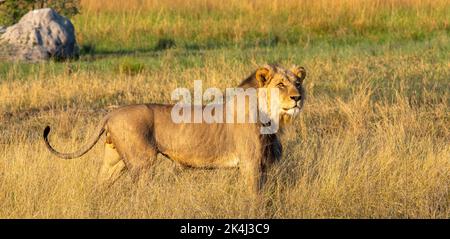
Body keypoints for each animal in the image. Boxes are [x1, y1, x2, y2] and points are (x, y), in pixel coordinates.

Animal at [43, 64, 306, 194]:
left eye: (298, 82)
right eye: (281, 85)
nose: (297, 97)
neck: (273, 117)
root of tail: (111, 112)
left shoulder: (262, 165)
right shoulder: (251, 164)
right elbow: (254, 199)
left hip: (113, 160)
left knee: (99, 185)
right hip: (143, 161)